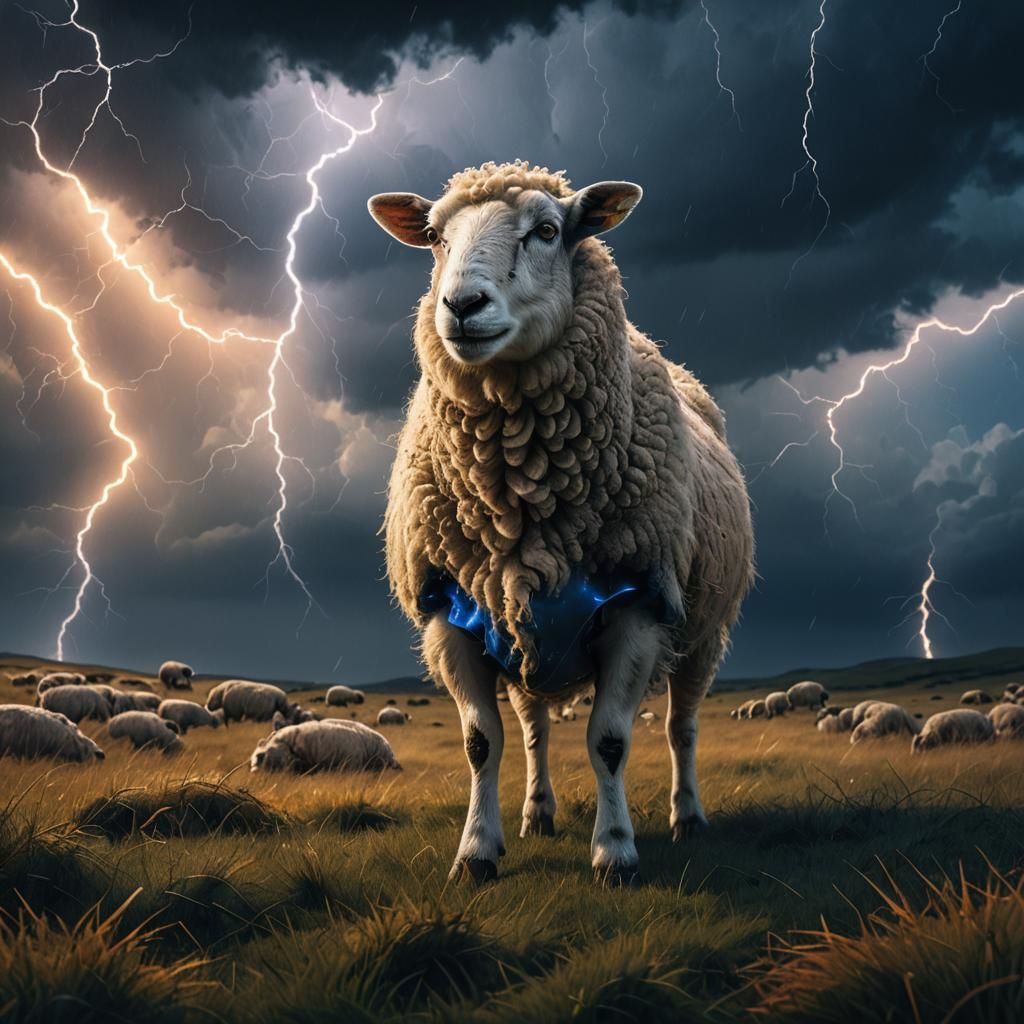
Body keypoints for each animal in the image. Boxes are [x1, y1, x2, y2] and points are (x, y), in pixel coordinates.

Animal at [369, 161, 753, 884]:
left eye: (547, 230)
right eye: (435, 236)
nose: (462, 305)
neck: (520, 494)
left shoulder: (638, 604)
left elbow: (610, 740)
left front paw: (615, 851)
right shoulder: (451, 612)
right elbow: (480, 743)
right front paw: (476, 851)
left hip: (702, 629)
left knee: (682, 727)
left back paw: (687, 816)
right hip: (521, 635)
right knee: (533, 730)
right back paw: (537, 812)